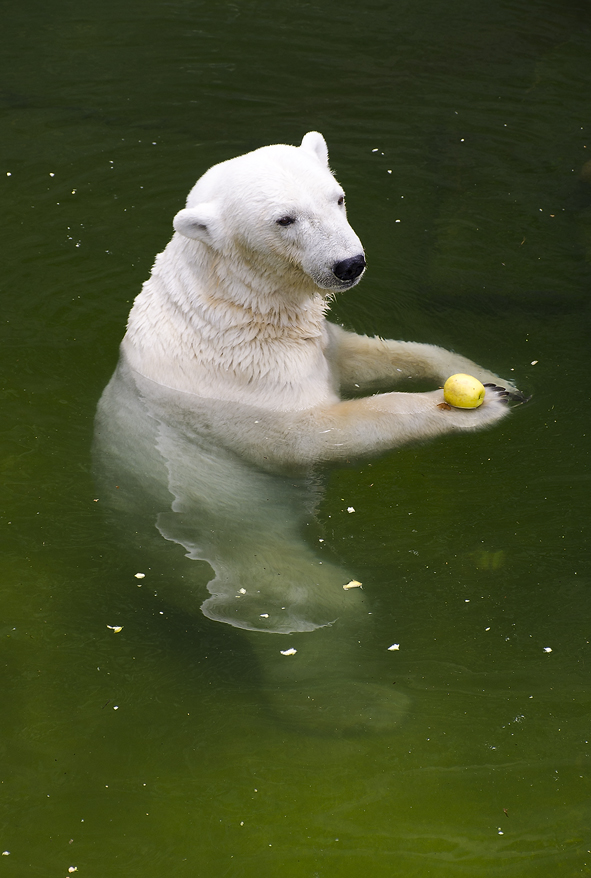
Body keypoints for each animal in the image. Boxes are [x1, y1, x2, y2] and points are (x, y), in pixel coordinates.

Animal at [93, 132, 524, 736]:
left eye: (337, 197)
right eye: (285, 219)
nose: (350, 263)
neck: (231, 305)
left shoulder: (312, 341)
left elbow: (363, 354)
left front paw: (483, 373)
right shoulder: (240, 381)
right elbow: (314, 436)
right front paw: (475, 408)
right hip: (242, 555)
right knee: (325, 605)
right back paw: (361, 704)